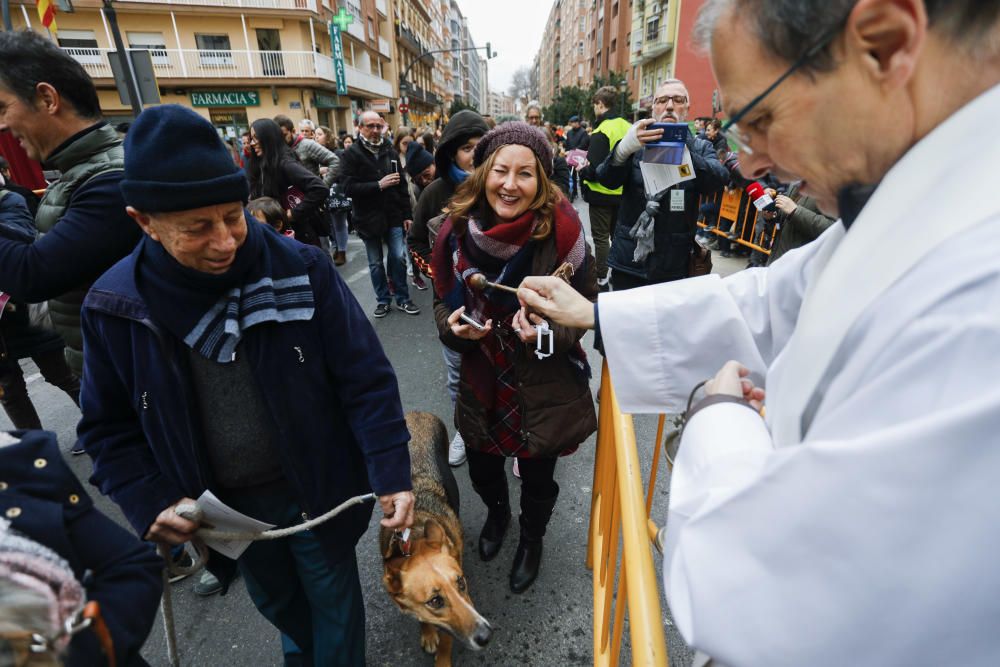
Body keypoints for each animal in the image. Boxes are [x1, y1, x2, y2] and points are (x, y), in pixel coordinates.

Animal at [380, 412, 494, 667]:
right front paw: (428, 633)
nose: (487, 636)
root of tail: (418, 413)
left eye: (461, 583)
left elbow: (447, 642)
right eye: (435, 601)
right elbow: (424, 620)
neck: (414, 534)